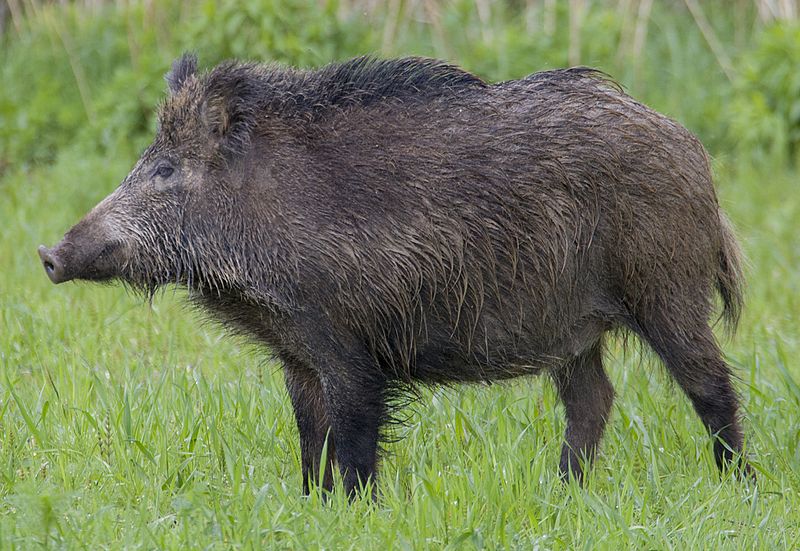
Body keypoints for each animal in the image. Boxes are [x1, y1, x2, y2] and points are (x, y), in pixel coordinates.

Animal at [38, 54, 751, 497]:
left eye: (165, 170)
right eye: (143, 160)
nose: (48, 254)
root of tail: (690, 147)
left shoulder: (350, 346)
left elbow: (353, 440)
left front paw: (358, 512)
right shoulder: (298, 353)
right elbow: (310, 438)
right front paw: (311, 508)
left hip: (665, 286)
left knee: (709, 383)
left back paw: (738, 484)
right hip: (573, 326)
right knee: (593, 400)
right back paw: (563, 492)